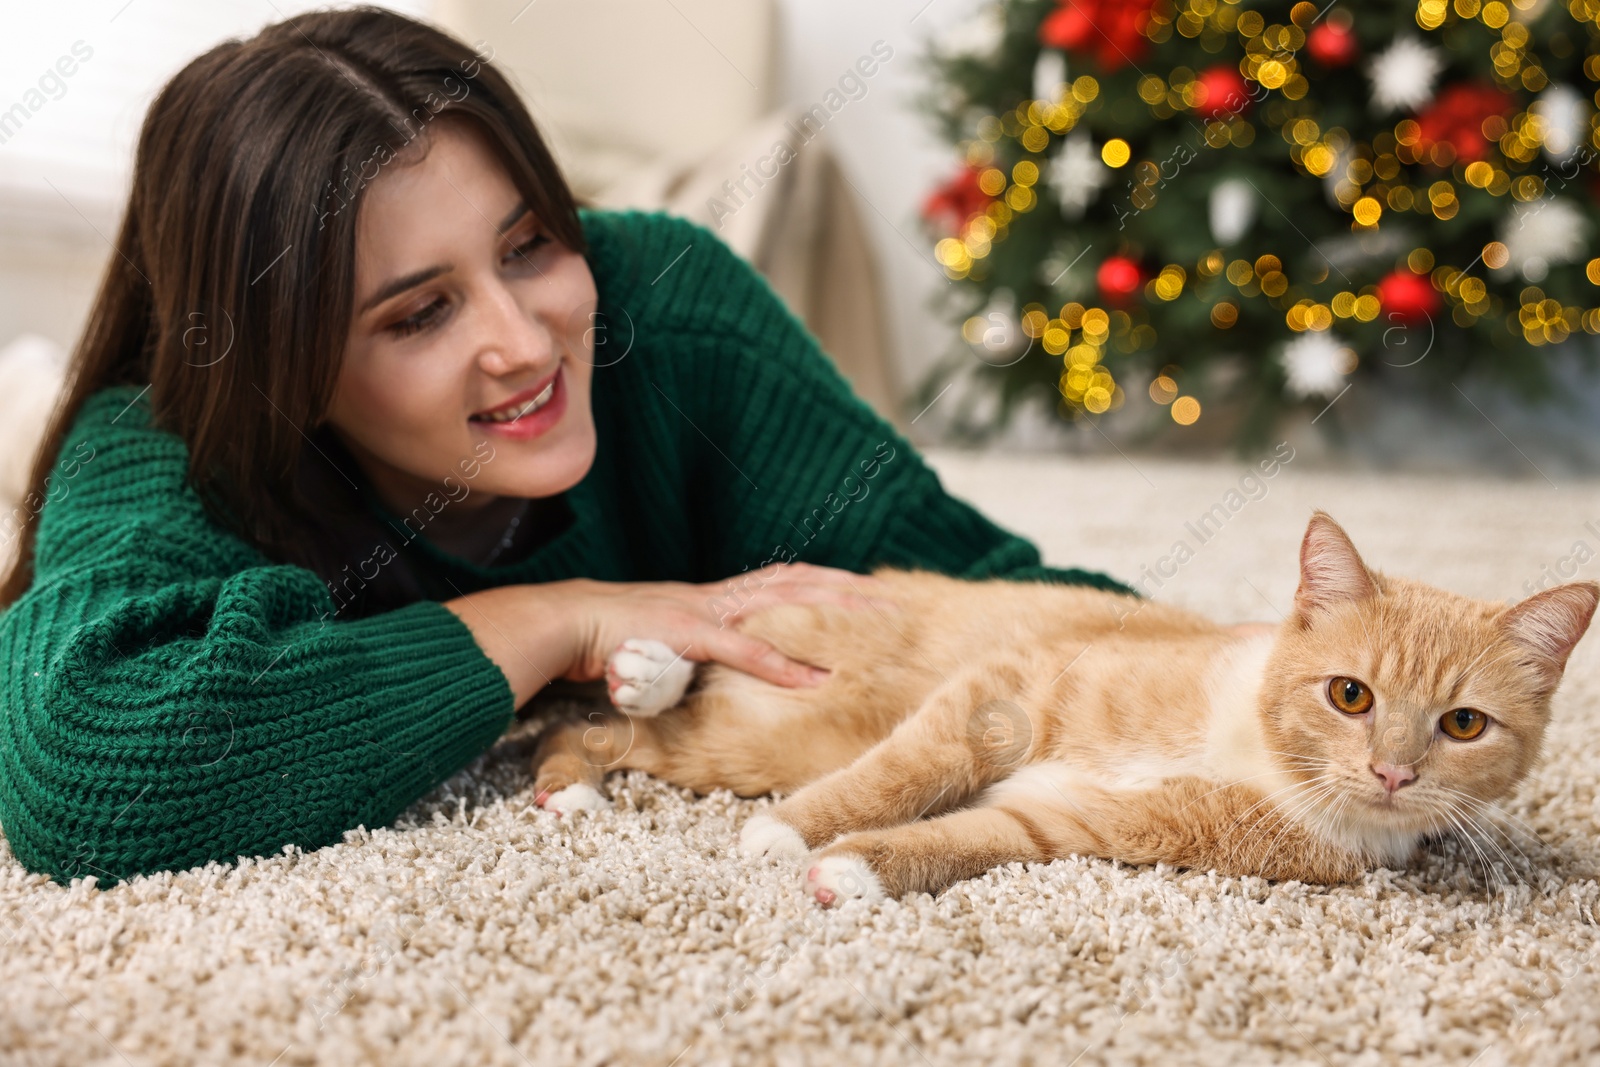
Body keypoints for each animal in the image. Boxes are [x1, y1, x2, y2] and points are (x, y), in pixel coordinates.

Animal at [531, 511, 1593, 908]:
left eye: (1463, 724)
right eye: (1350, 694)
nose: (1393, 771)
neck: (1247, 742)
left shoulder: (1074, 823)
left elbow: (968, 836)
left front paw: (856, 868)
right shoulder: (1001, 695)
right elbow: (901, 773)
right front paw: (791, 835)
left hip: (755, 743)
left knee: (598, 725)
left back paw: (587, 762)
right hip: (787, 698)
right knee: (624, 695)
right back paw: (647, 670)